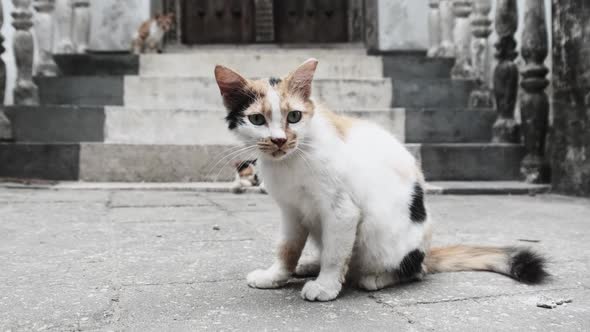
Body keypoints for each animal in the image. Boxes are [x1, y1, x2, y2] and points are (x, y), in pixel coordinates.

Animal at [214, 59, 552, 300]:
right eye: (257, 119)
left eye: (294, 116)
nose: (280, 140)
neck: (292, 160)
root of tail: (425, 252)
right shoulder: (291, 211)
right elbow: (286, 247)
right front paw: (276, 275)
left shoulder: (343, 211)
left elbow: (336, 253)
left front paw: (326, 286)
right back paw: (310, 263)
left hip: (384, 238)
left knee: (411, 272)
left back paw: (371, 277)